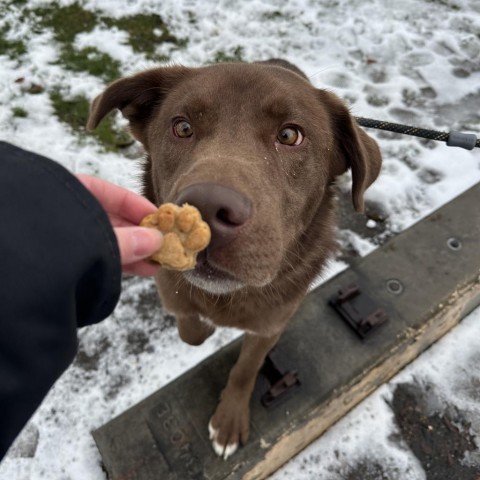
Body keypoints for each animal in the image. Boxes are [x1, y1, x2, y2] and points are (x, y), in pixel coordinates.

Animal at [87, 59, 382, 458]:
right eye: (182, 127)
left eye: (290, 135)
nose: (208, 208)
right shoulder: (170, 285)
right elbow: (190, 329)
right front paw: (205, 327)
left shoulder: (271, 324)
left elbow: (245, 370)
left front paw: (228, 422)